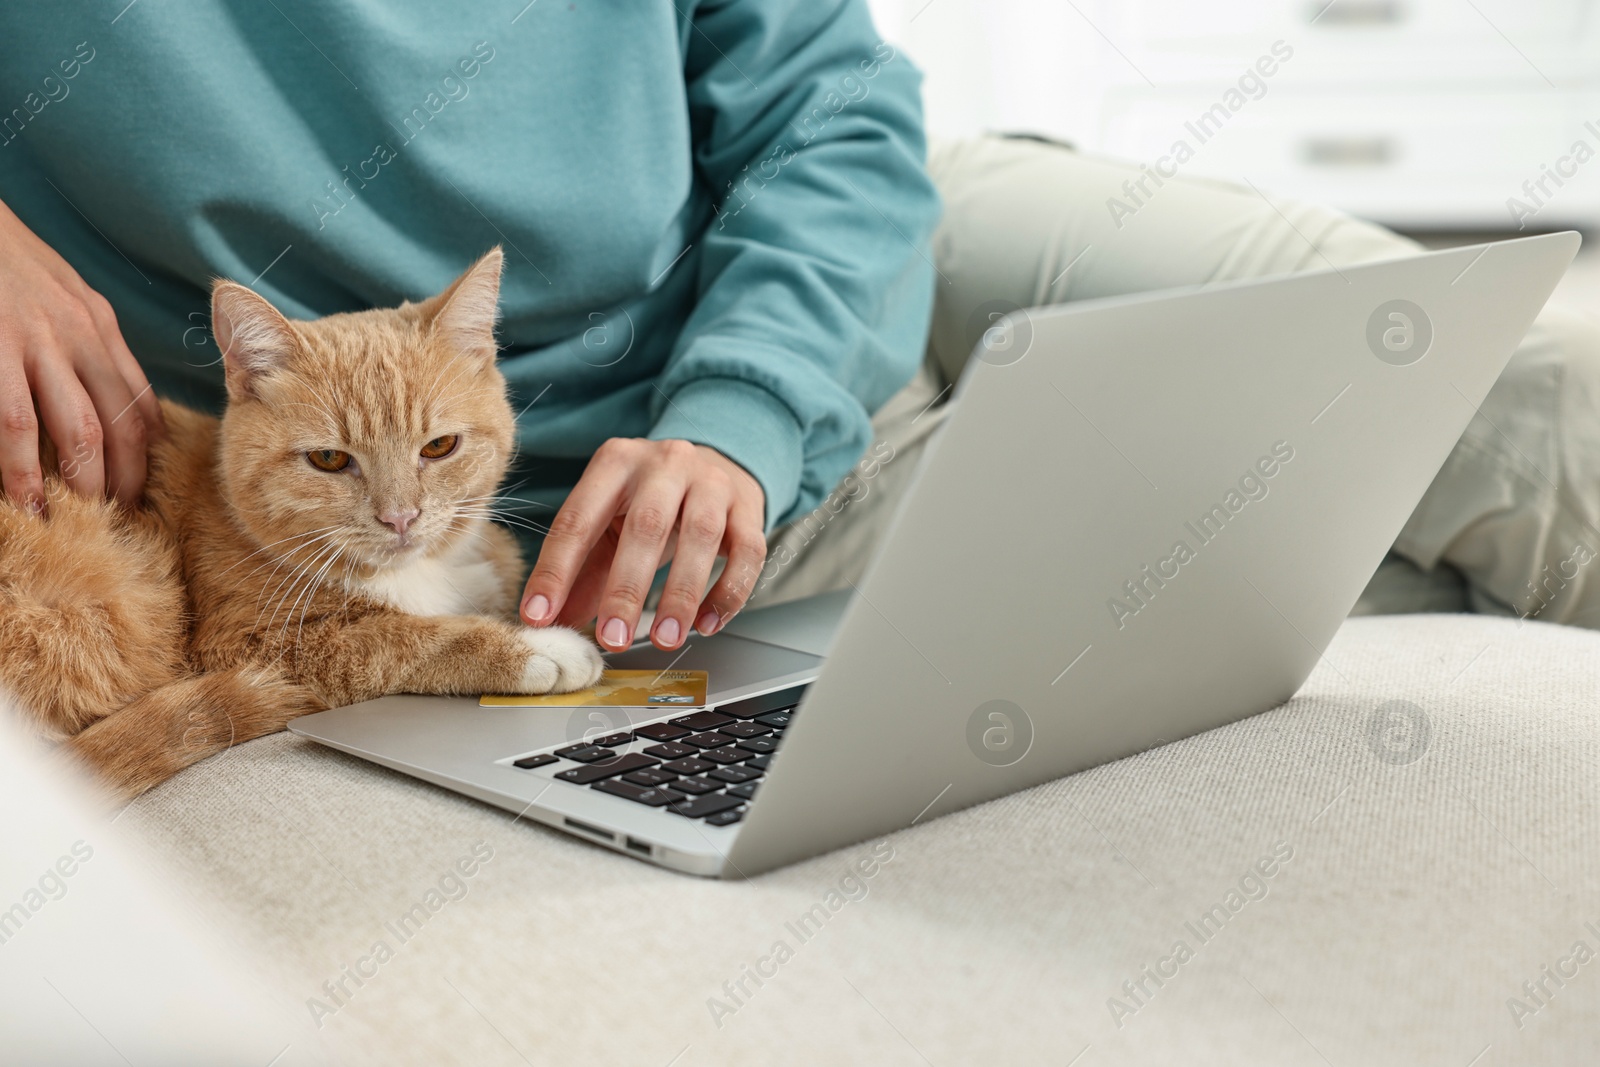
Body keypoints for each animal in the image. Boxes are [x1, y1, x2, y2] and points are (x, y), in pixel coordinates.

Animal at [1, 252, 601, 799]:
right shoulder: (248, 644)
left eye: (440, 447)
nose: (400, 517)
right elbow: (398, 638)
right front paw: (535, 648)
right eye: (329, 460)